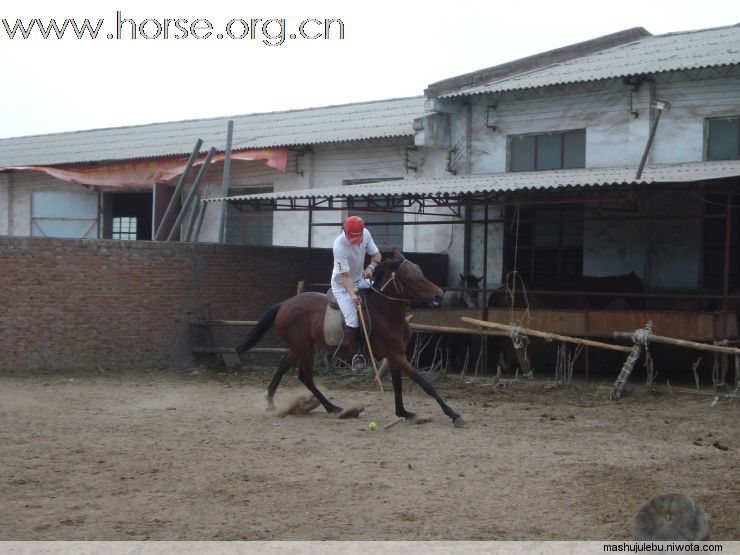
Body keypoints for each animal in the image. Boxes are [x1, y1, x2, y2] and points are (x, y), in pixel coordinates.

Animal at [237, 253, 466, 430]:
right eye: (411, 277)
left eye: (421, 272)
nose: (438, 296)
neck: (386, 313)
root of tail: (284, 304)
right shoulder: (395, 355)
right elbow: (426, 384)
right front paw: (454, 415)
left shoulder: (396, 355)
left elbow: (398, 385)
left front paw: (403, 412)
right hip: (304, 349)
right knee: (306, 377)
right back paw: (333, 408)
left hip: (300, 347)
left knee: (285, 367)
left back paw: (272, 402)